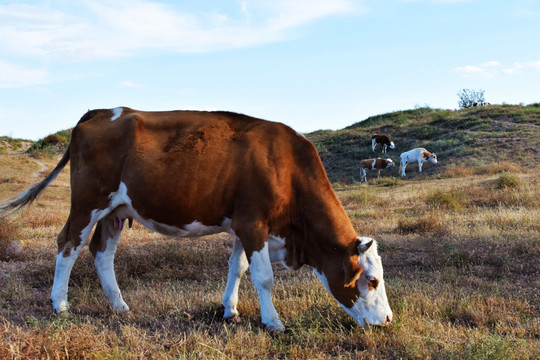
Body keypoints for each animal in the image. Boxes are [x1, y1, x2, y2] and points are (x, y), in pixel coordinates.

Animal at [2, 107, 394, 332]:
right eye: (372, 281)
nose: (388, 319)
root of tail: (101, 111)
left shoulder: (243, 225)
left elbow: (238, 268)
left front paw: (229, 311)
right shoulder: (253, 224)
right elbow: (264, 277)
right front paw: (273, 322)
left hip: (116, 210)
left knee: (101, 252)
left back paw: (119, 305)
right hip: (88, 202)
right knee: (69, 244)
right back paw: (60, 304)